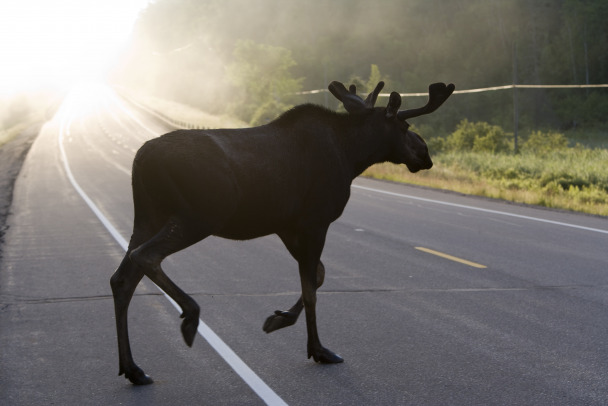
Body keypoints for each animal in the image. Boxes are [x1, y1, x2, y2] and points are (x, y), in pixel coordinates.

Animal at [109, 79, 454, 384]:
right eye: (404, 128)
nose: (425, 154)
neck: (352, 155)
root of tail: (140, 159)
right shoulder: (315, 221)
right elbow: (311, 288)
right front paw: (318, 350)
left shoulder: (288, 226)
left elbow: (318, 275)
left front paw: (279, 318)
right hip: (199, 216)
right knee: (145, 256)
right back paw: (190, 316)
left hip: (148, 217)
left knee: (122, 278)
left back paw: (133, 369)